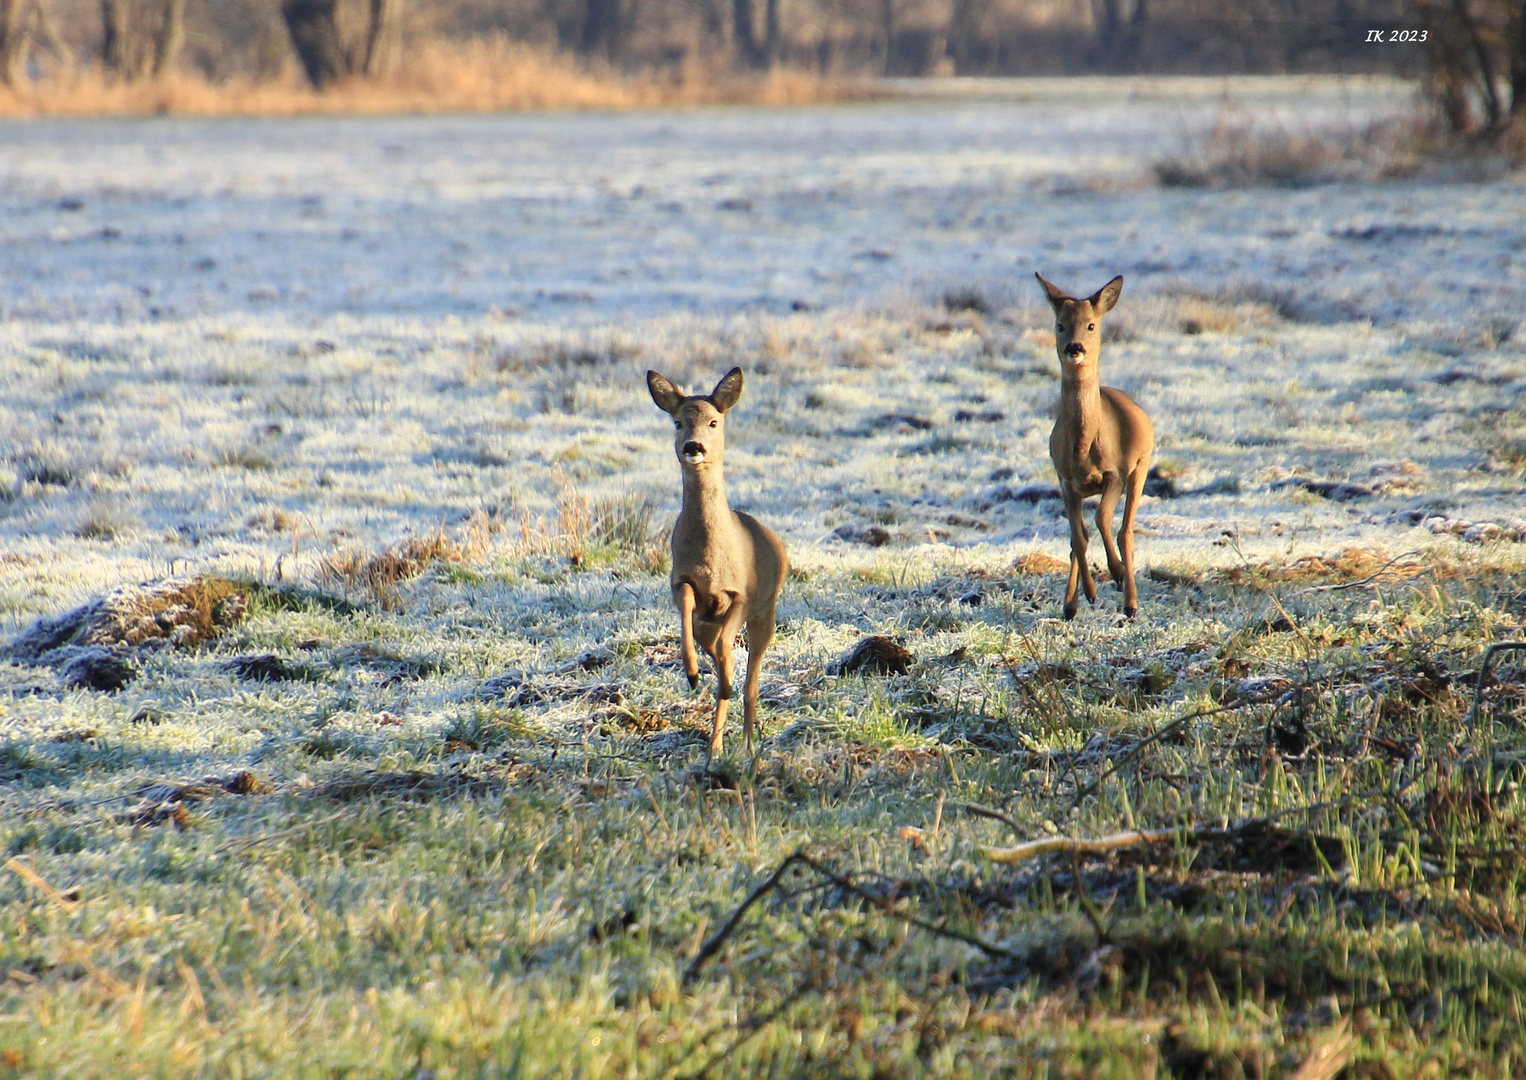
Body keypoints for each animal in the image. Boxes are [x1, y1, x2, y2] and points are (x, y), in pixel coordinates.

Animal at [647, 367, 787, 756]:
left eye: (713, 421)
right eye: (678, 422)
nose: (694, 447)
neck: (711, 556)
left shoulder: (742, 594)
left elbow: (730, 649)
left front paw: (718, 679)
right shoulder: (681, 582)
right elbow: (685, 611)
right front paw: (693, 673)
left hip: (766, 612)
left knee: (752, 682)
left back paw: (747, 746)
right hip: (711, 623)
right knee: (721, 655)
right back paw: (715, 744)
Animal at [1037, 274, 1153, 619]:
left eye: (1091, 325)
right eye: (1060, 325)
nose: (1074, 348)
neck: (1083, 448)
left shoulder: (1115, 473)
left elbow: (1103, 518)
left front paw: (1116, 573)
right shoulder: (1065, 480)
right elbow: (1078, 537)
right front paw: (1086, 593)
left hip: (1142, 466)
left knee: (1126, 530)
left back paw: (1130, 603)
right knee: (1081, 536)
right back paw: (1071, 605)